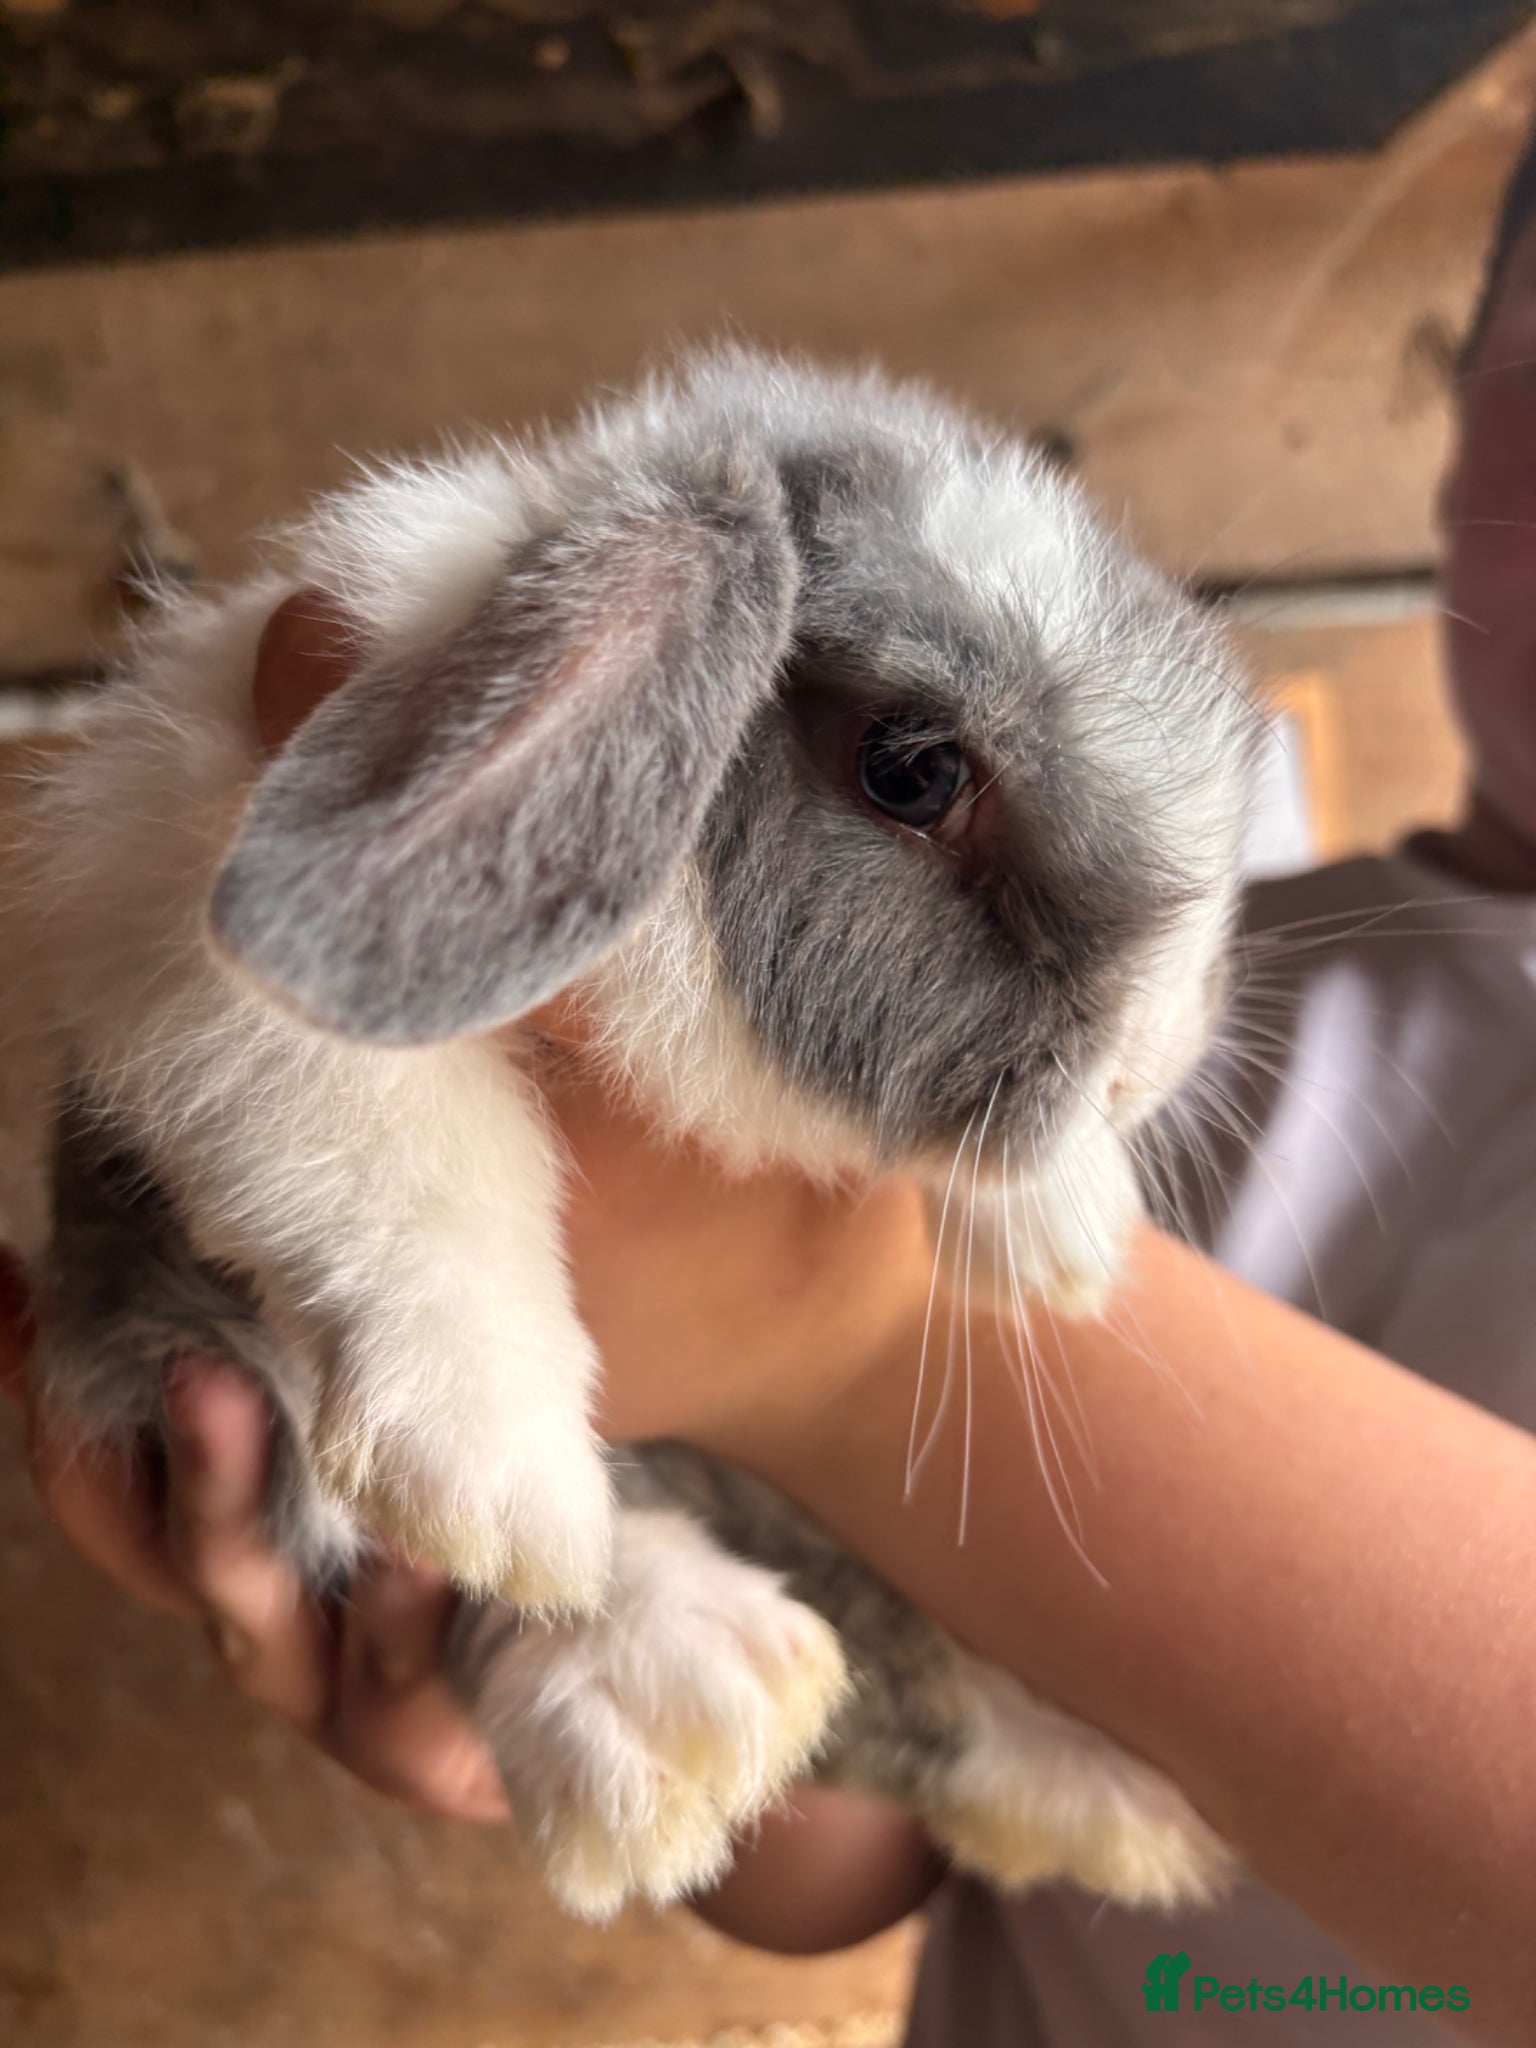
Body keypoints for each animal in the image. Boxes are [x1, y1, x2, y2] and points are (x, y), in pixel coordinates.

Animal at [0, 346, 1260, 1920]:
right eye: (912, 769)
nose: (1150, 1055)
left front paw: (1068, 1237)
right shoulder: (187, 909)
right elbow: (402, 1151)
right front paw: (502, 1483)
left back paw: (1101, 1807)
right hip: (174, 1335)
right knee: (383, 1539)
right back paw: (678, 1681)